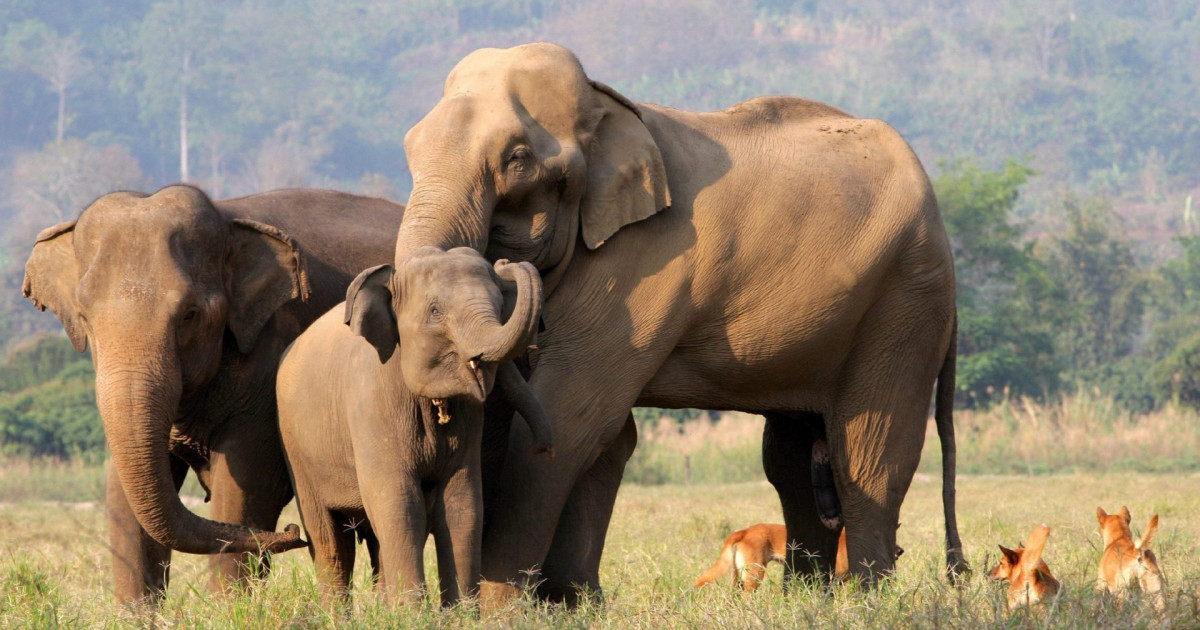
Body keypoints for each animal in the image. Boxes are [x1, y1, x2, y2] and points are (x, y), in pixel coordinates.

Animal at [21, 184, 405, 602]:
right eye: (85, 317)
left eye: (189, 315)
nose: (291, 533)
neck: (227, 218)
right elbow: (122, 495)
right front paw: (135, 612)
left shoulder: (268, 361)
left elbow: (246, 487)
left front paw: (229, 607)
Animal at [276, 246, 552, 604]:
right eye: (435, 311)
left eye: (500, 305)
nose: (506, 264)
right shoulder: (371, 403)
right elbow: (399, 504)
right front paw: (412, 609)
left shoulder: (469, 418)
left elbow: (462, 507)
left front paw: (459, 611)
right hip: (296, 448)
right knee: (329, 540)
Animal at [691, 520, 902, 590]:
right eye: (884, 539)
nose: (901, 551)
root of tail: (745, 531)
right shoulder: (835, 580)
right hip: (754, 577)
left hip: (738, 577)